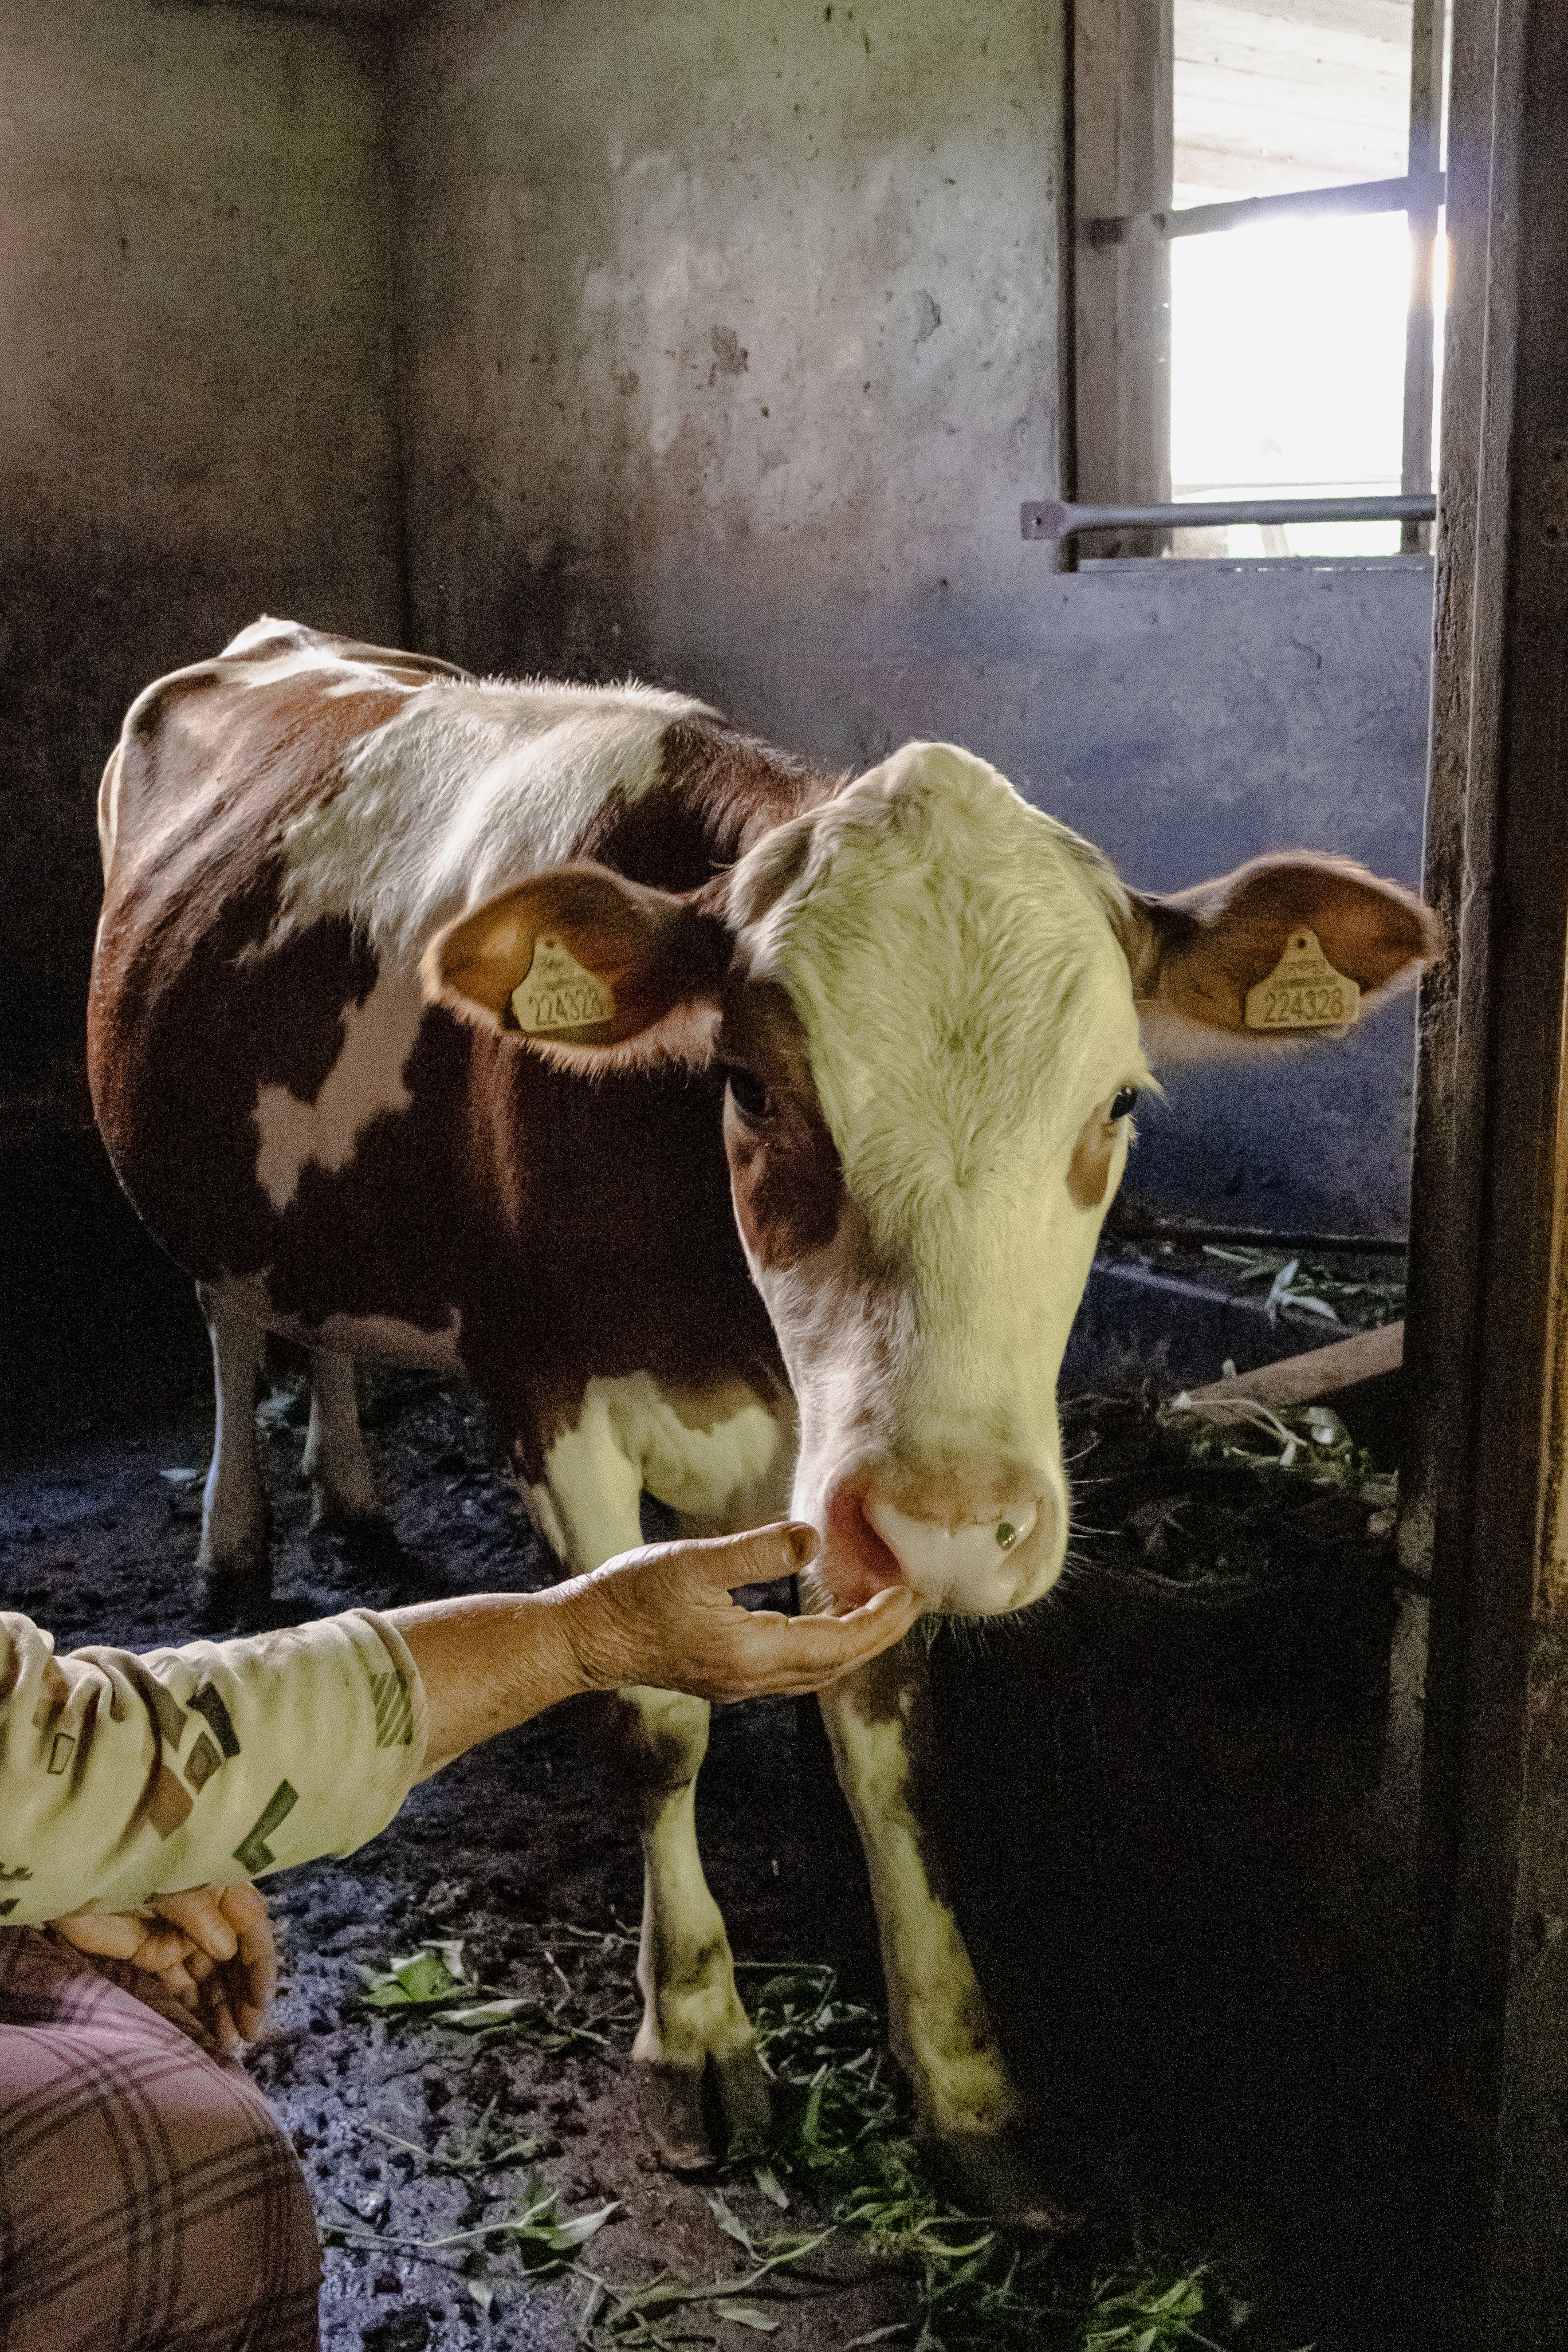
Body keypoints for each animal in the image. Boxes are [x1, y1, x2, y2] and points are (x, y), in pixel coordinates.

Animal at [88, 617, 1440, 2218]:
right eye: (742, 1084)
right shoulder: (550, 1400)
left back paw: (353, 1500)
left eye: (1116, 1102)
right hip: (198, 1183)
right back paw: (236, 1540)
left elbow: (883, 1738)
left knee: (318, 1321)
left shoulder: (838, 1455)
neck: (732, 1327)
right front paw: (696, 2030)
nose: (949, 1522)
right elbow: (657, 1718)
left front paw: (960, 2081)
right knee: (234, 1324)